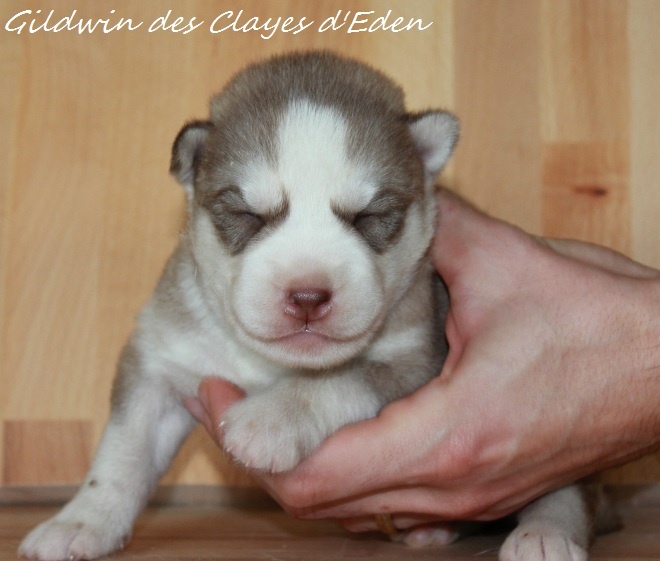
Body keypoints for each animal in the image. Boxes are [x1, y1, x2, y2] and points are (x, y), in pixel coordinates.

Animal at [20, 51, 611, 561]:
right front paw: (81, 520)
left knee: (568, 489)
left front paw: (272, 419)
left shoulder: (419, 360)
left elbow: (336, 380)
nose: (307, 296)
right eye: (248, 214)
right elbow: (123, 449)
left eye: (369, 217)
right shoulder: (161, 359)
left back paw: (546, 535)